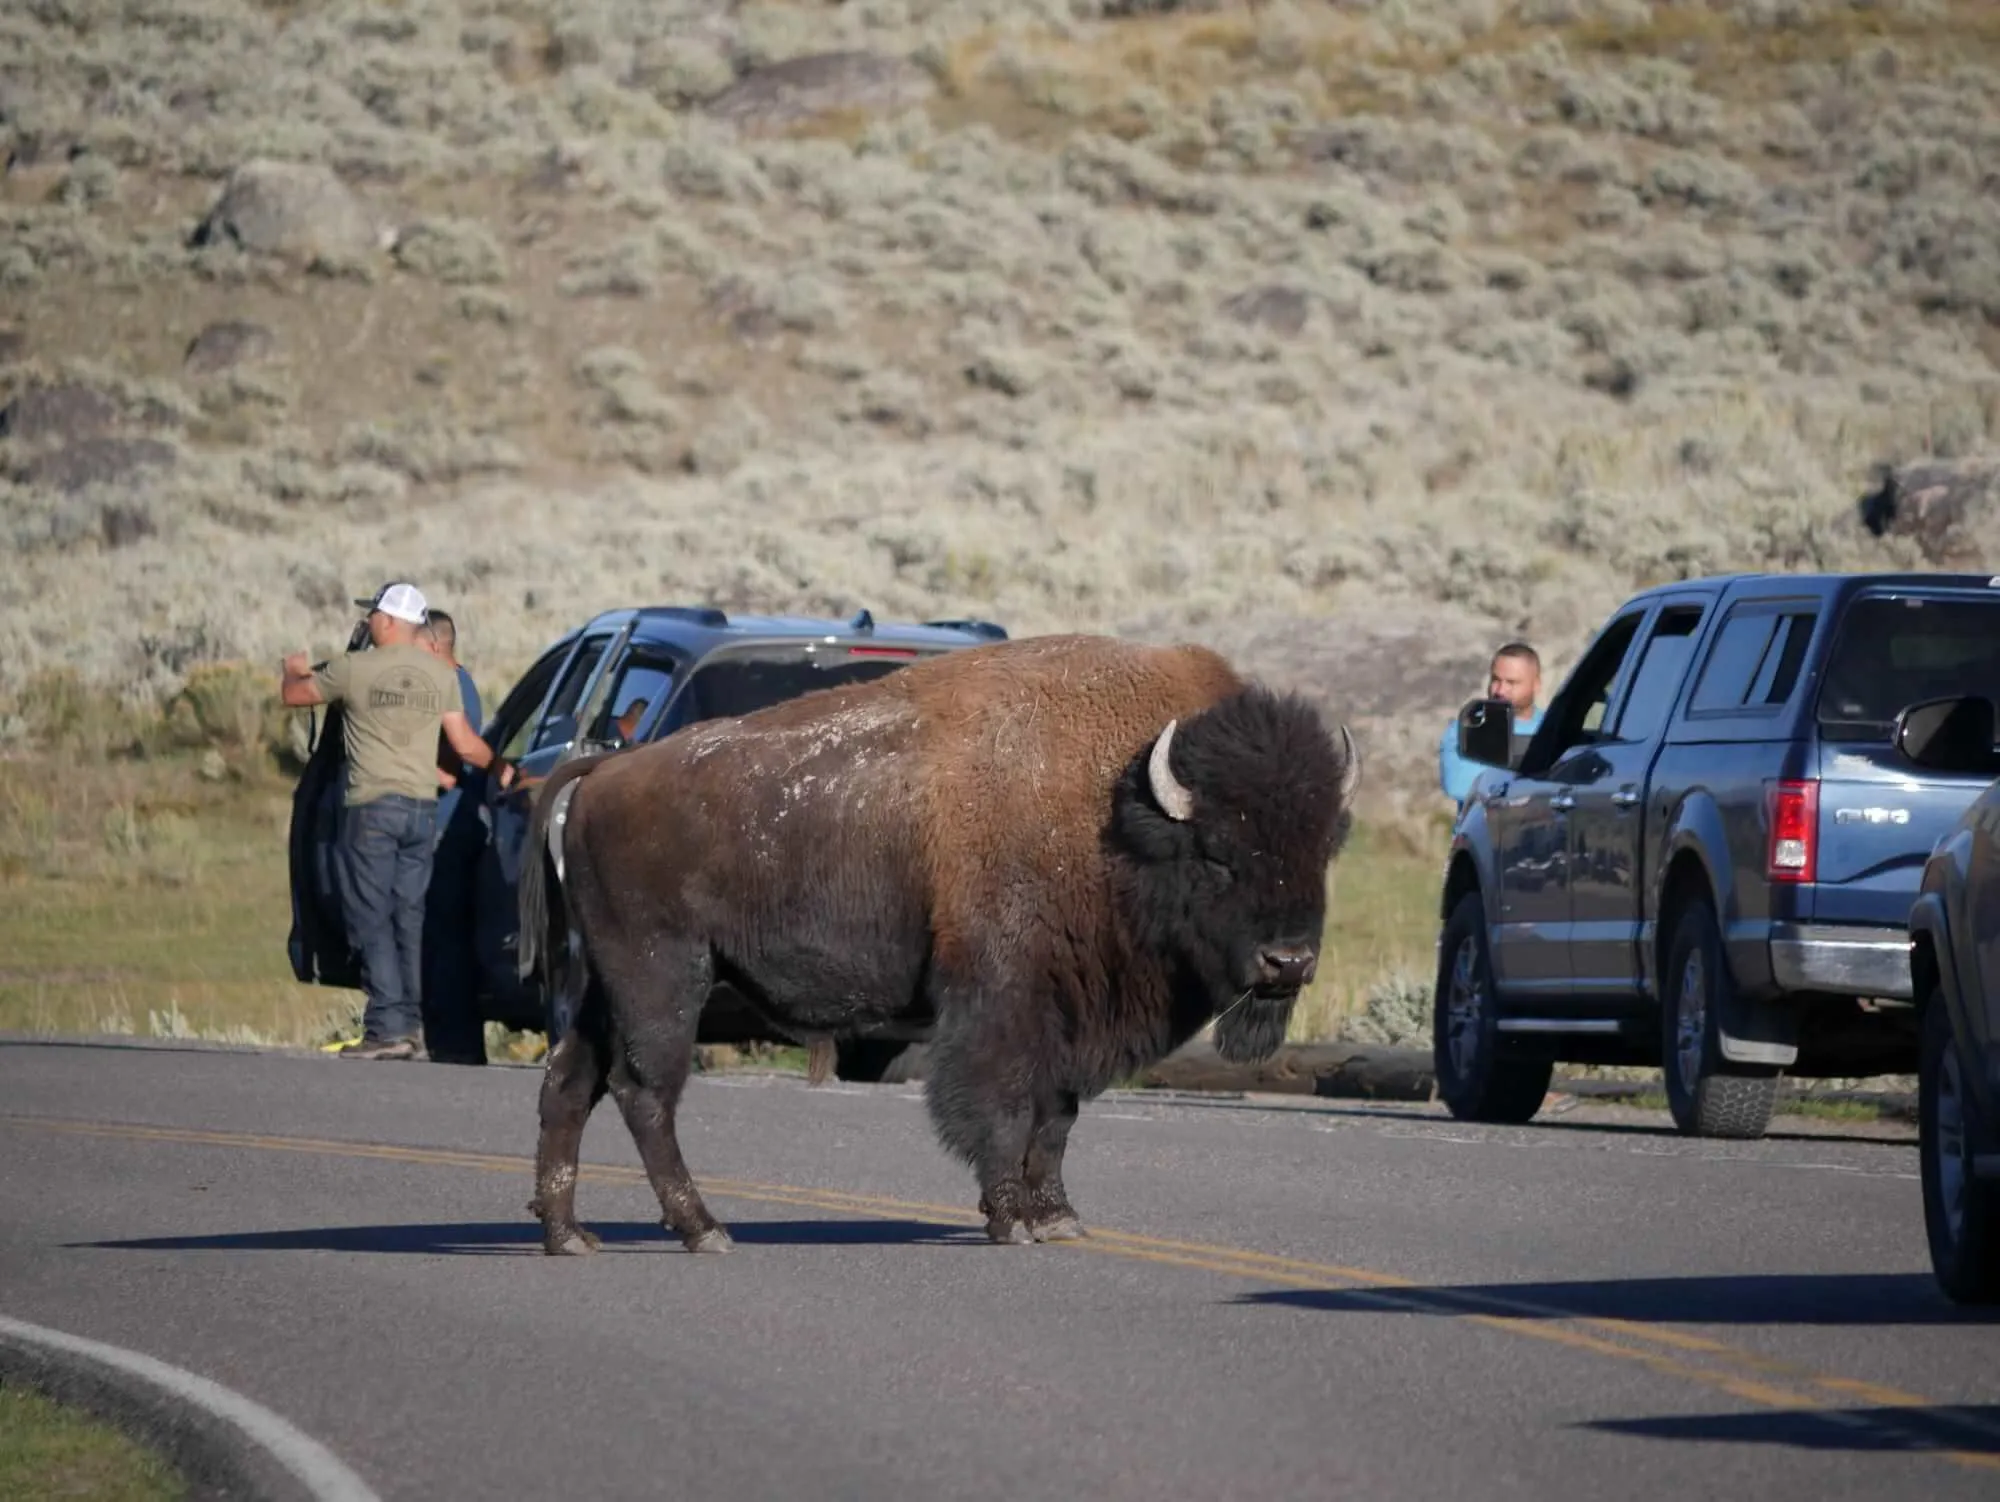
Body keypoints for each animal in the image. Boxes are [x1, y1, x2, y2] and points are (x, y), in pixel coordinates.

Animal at [518, 633, 1360, 1254]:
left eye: (1323, 846)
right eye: (1219, 853)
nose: (1289, 962)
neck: (1113, 807)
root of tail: (606, 771)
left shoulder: (1072, 1021)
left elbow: (1057, 1119)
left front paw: (1058, 1219)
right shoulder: (1003, 1008)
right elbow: (1002, 1109)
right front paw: (1010, 1220)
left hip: (599, 987)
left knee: (569, 1085)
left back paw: (571, 1236)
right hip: (663, 977)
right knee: (644, 1091)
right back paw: (705, 1230)